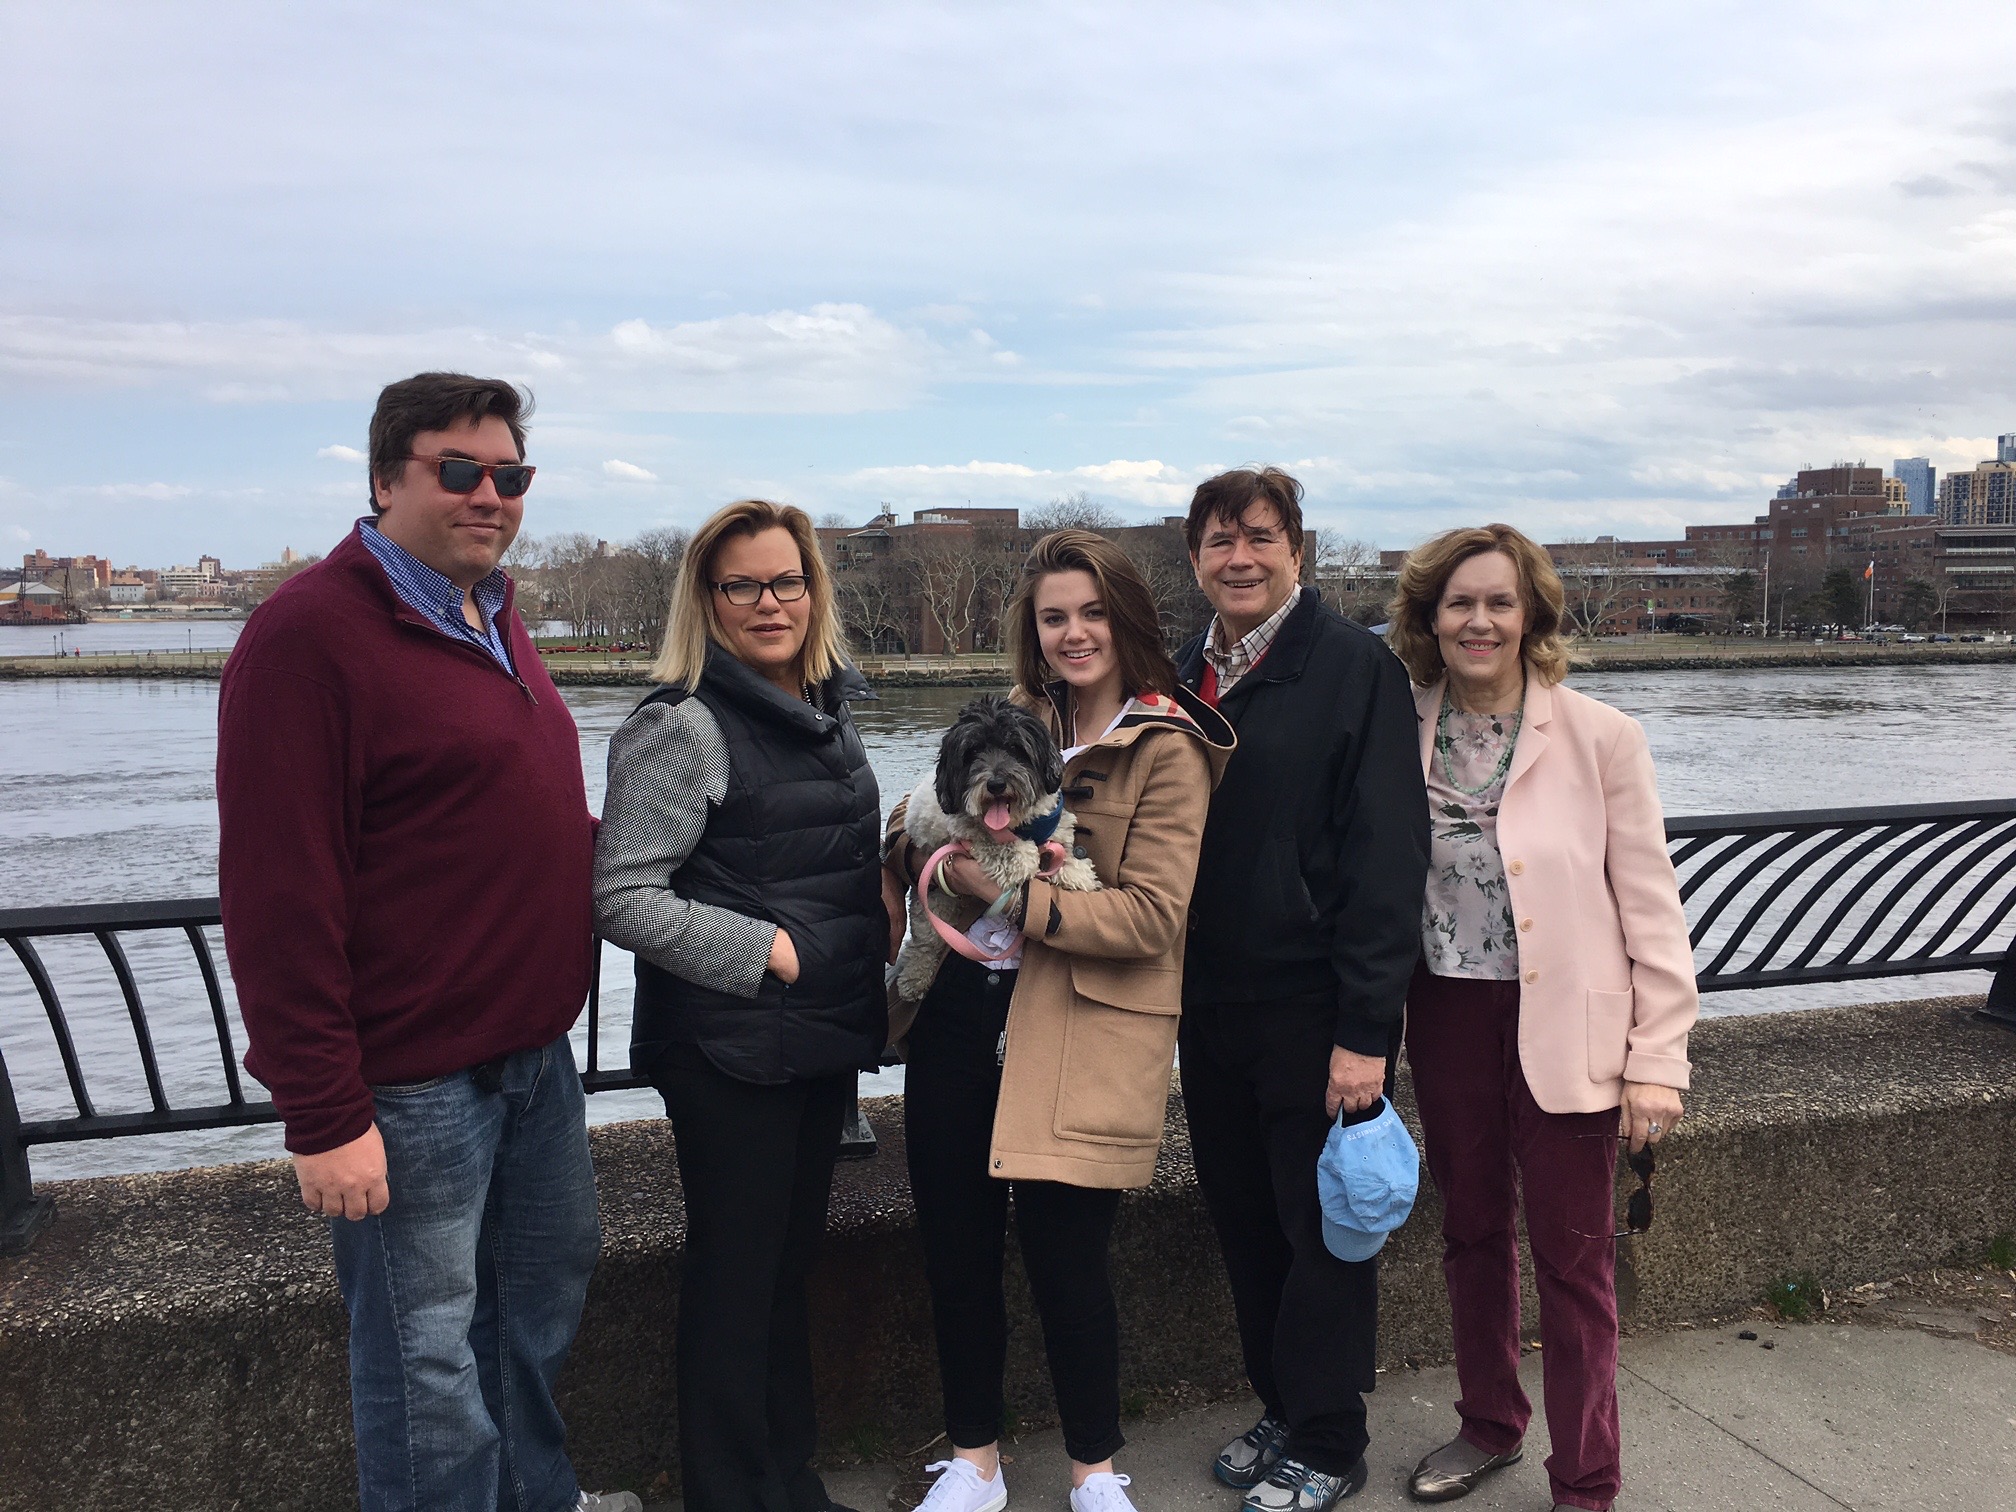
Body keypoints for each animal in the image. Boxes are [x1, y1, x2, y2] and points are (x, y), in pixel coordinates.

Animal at [887, 697, 1096, 1020]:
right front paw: (1022, 857)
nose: (996, 784)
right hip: (934, 905)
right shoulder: (964, 830)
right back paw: (914, 979)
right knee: (923, 945)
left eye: (1015, 747)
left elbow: (1061, 847)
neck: (1019, 824)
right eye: (972, 753)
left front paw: (1076, 871)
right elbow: (993, 842)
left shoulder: (1054, 823)